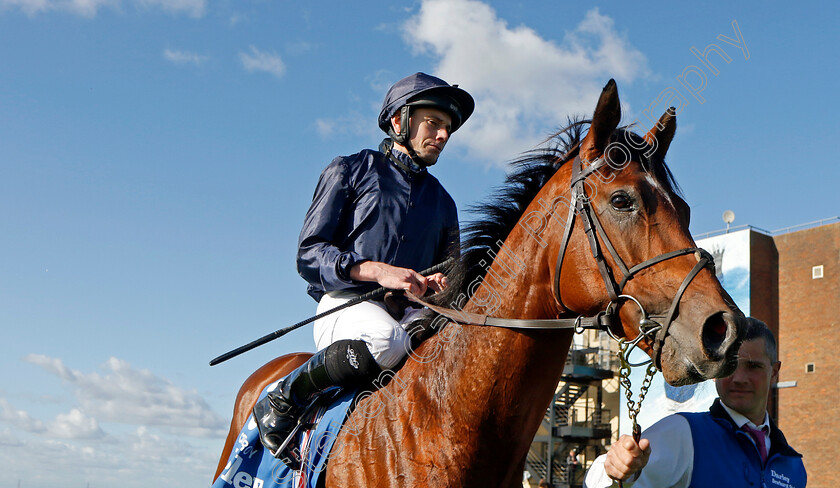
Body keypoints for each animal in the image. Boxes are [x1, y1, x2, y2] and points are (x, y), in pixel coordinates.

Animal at [213, 81, 744, 488]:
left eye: (685, 209)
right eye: (622, 200)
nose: (724, 329)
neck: (441, 421)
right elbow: (316, 247)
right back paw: (276, 415)